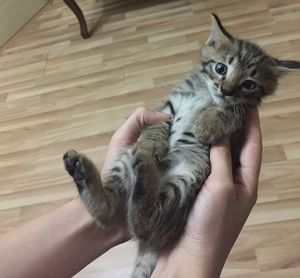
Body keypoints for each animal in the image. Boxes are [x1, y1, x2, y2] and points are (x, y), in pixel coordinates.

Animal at [62, 13, 298, 278]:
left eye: (249, 84)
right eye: (220, 68)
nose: (226, 91)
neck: (206, 94)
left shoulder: (240, 129)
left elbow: (233, 113)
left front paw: (206, 125)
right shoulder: (167, 109)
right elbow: (156, 127)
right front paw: (151, 144)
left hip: (182, 184)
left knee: (142, 226)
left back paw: (141, 171)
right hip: (126, 162)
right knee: (113, 214)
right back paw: (101, 167)